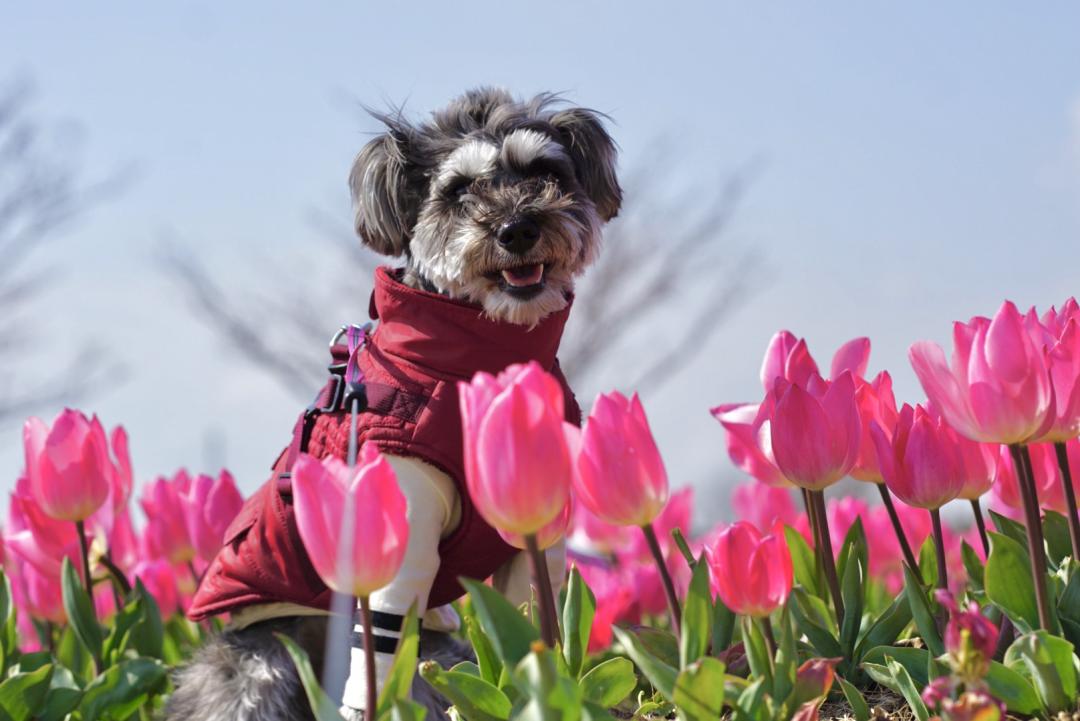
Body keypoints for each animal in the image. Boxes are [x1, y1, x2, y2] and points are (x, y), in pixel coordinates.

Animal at [166, 90, 626, 721]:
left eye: (545, 172)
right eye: (458, 191)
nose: (517, 228)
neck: (478, 356)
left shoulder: (534, 534)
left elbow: (535, 620)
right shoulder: (402, 523)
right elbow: (379, 650)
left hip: (442, 653)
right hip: (260, 660)